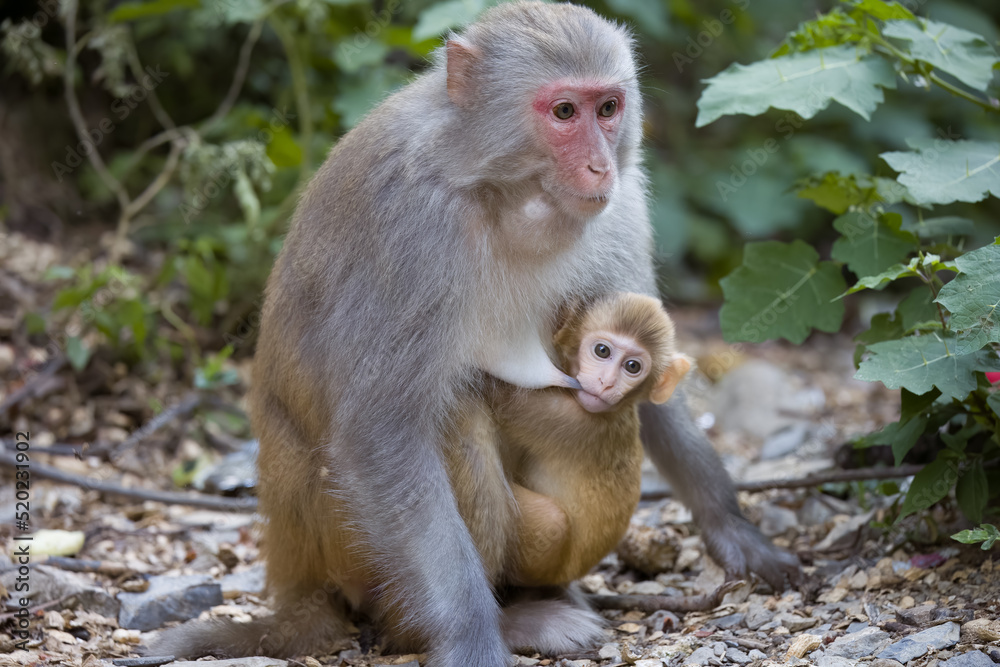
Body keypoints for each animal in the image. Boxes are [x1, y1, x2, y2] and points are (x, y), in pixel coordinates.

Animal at [496, 294, 692, 588]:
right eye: (602, 351)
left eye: (632, 367)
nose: (606, 382)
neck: (617, 411)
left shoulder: (565, 419)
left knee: (552, 521)